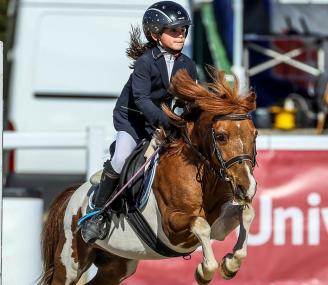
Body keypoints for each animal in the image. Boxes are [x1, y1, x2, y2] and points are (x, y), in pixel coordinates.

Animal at [38, 67, 258, 282]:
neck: (200, 176)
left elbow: (246, 213)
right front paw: (204, 271)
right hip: (70, 263)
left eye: (255, 134)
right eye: (221, 137)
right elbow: (201, 224)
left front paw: (230, 264)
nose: (246, 187)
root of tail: (72, 196)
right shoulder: (172, 227)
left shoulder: (218, 225)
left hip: (117, 265)